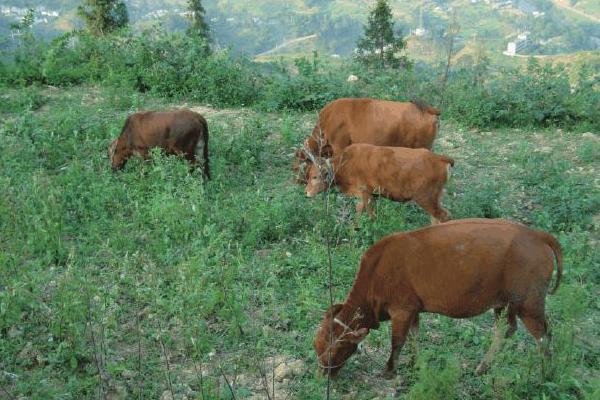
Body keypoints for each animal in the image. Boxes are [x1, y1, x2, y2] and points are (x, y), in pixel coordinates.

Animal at [302, 144, 452, 225]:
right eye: (308, 176)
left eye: (315, 176)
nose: (306, 192)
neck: (344, 165)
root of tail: (441, 159)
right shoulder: (371, 194)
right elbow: (360, 210)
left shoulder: (365, 191)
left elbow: (370, 215)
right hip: (436, 197)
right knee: (437, 217)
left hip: (425, 197)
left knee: (444, 216)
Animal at [314, 219, 564, 378]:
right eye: (317, 343)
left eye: (334, 349)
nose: (322, 373)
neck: (377, 270)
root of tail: (536, 235)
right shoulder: (413, 310)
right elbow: (413, 338)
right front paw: (414, 365)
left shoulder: (401, 310)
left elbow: (397, 341)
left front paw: (389, 371)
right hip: (503, 305)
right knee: (506, 330)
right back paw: (483, 367)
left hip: (529, 305)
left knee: (543, 337)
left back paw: (546, 375)